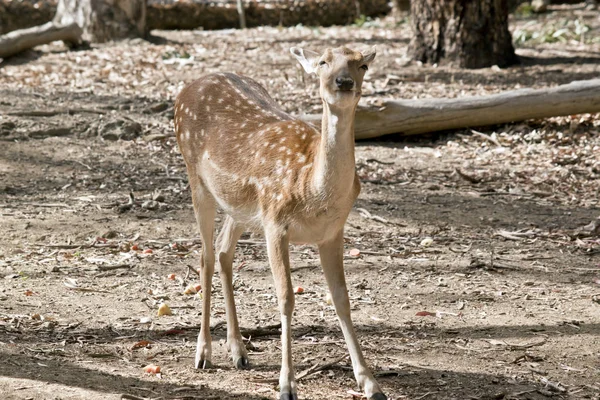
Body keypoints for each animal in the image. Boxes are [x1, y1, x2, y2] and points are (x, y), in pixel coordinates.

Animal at [175, 46, 384, 400]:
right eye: (323, 62)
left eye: (363, 65)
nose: (343, 82)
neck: (312, 188)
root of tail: (187, 88)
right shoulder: (275, 222)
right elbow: (286, 298)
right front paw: (287, 385)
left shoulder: (332, 232)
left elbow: (342, 299)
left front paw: (370, 383)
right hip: (197, 180)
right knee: (205, 256)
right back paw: (203, 353)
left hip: (240, 205)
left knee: (223, 251)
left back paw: (238, 351)